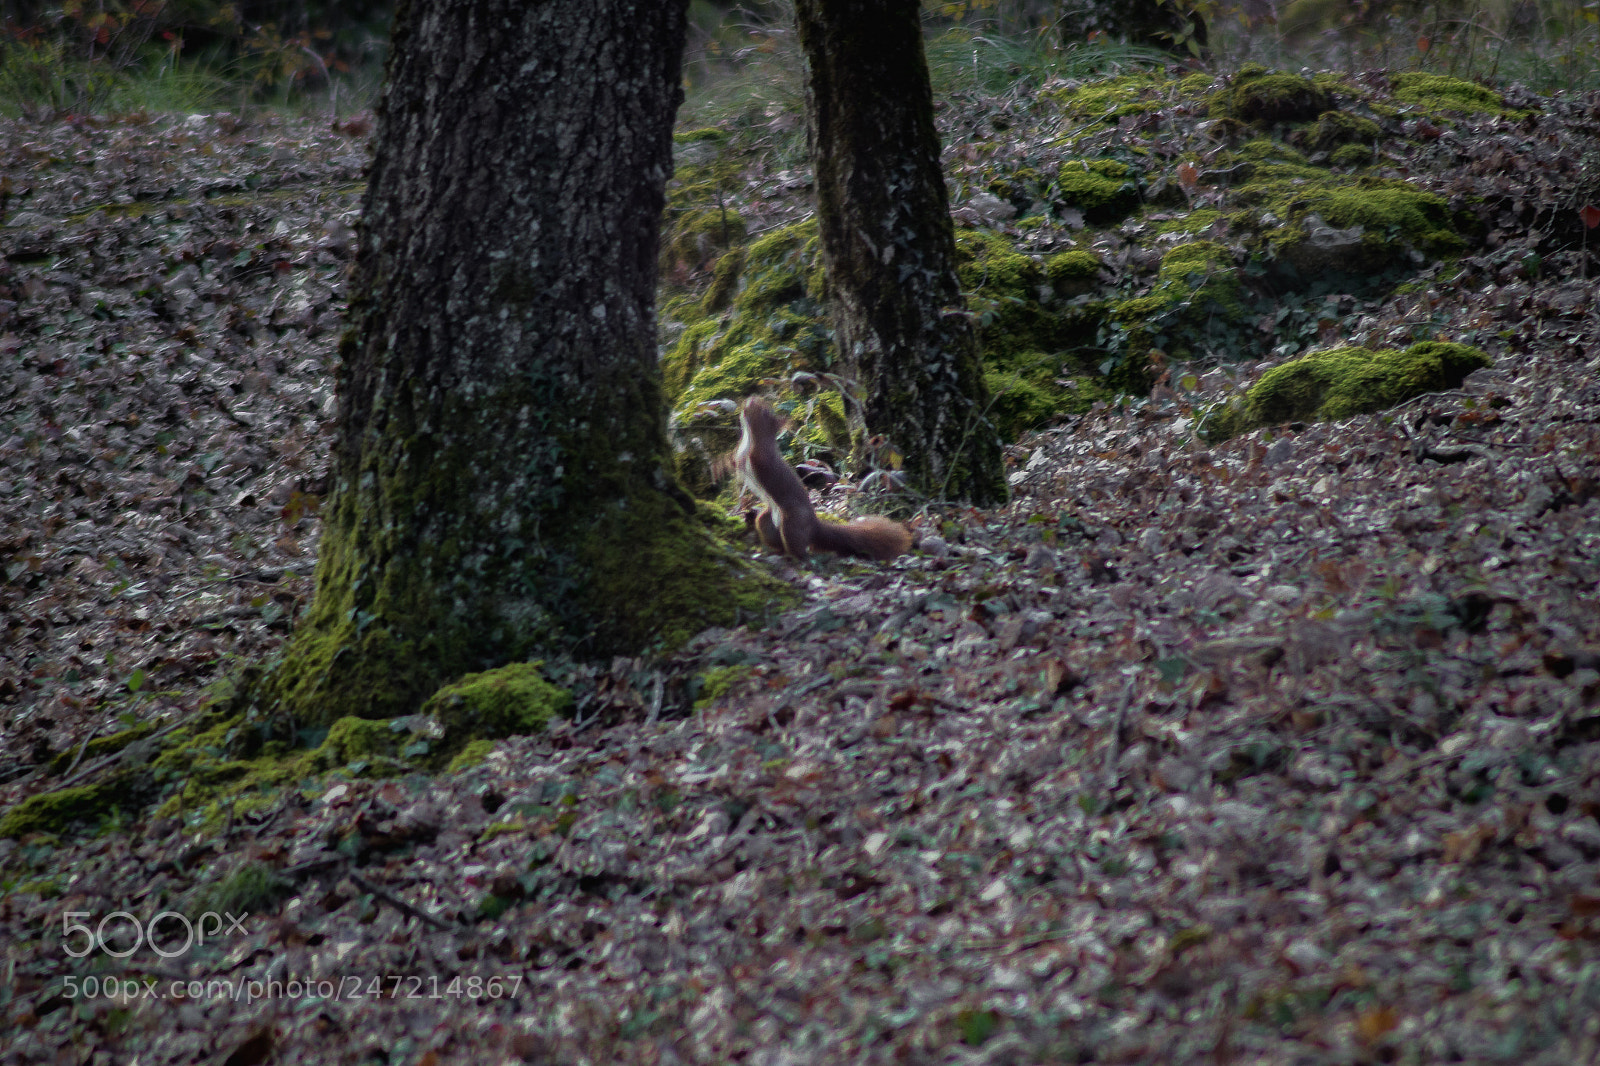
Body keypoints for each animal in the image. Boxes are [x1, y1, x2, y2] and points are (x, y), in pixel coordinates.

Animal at [734, 396, 913, 562]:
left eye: (763, 411)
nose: (750, 400)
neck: (752, 438)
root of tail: (815, 526)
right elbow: (738, 461)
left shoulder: (763, 457)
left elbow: (758, 461)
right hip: (767, 522)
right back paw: (774, 552)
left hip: (792, 523)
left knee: (799, 549)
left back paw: (792, 557)